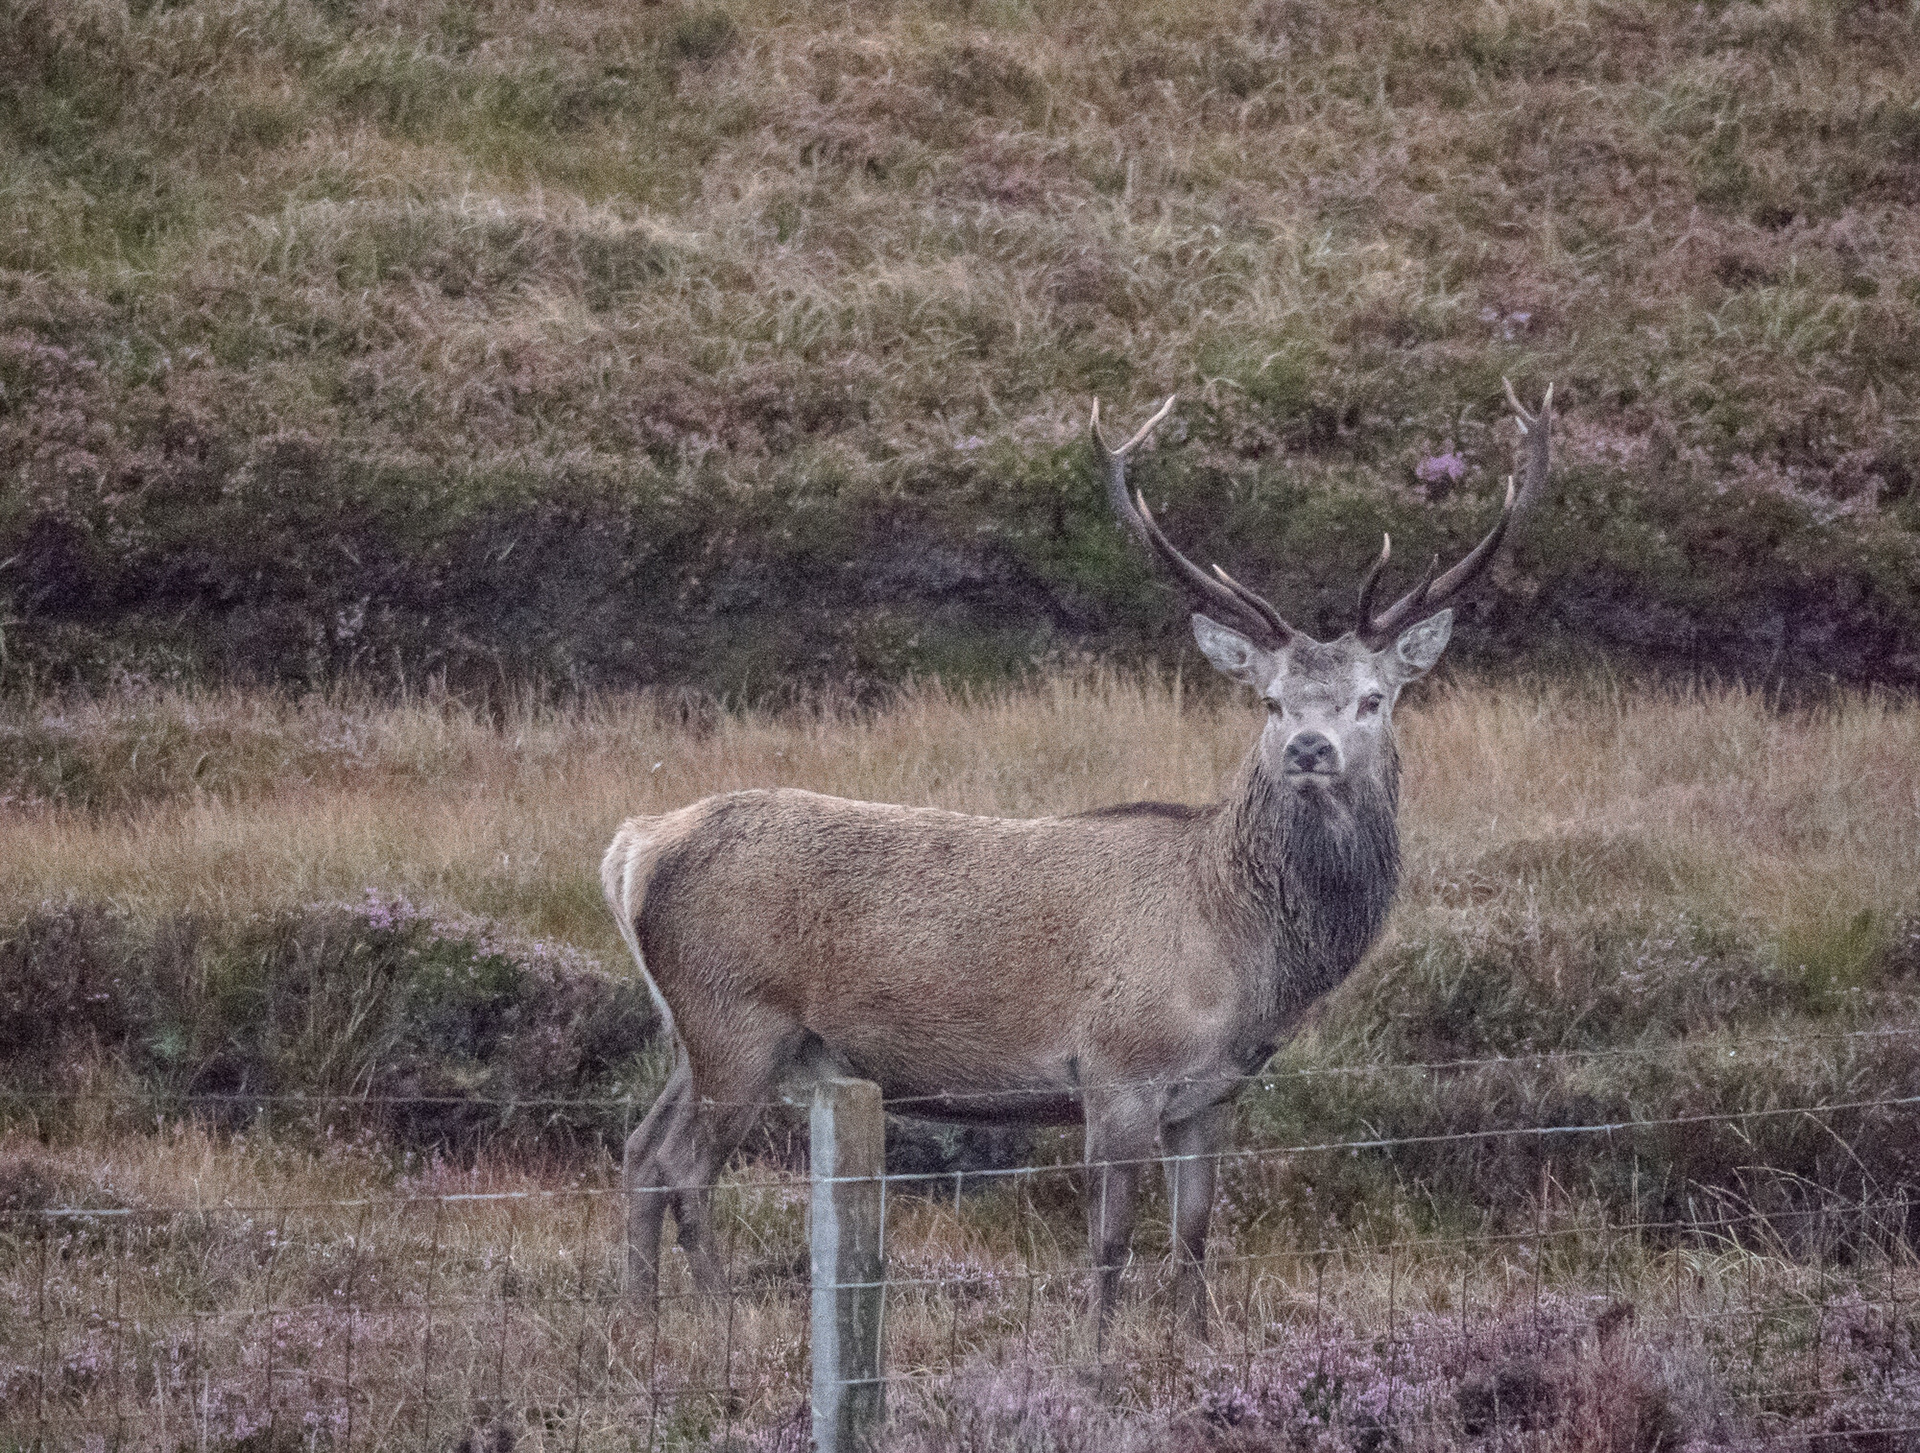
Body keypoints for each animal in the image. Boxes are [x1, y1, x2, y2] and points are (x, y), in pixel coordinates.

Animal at [602, 383, 1553, 1337]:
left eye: (1373, 697)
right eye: (1271, 700)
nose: (1310, 749)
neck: (1244, 953)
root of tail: (636, 845)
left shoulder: (1212, 1095)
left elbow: (1194, 1235)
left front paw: (1195, 1342)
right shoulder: (1116, 1070)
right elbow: (1110, 1240)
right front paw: (1097, 1347)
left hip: (700, 1029)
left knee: (642, 1148)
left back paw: (644, 1319)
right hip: (739, 1019)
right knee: (685, 1165)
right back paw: (717, 1313)